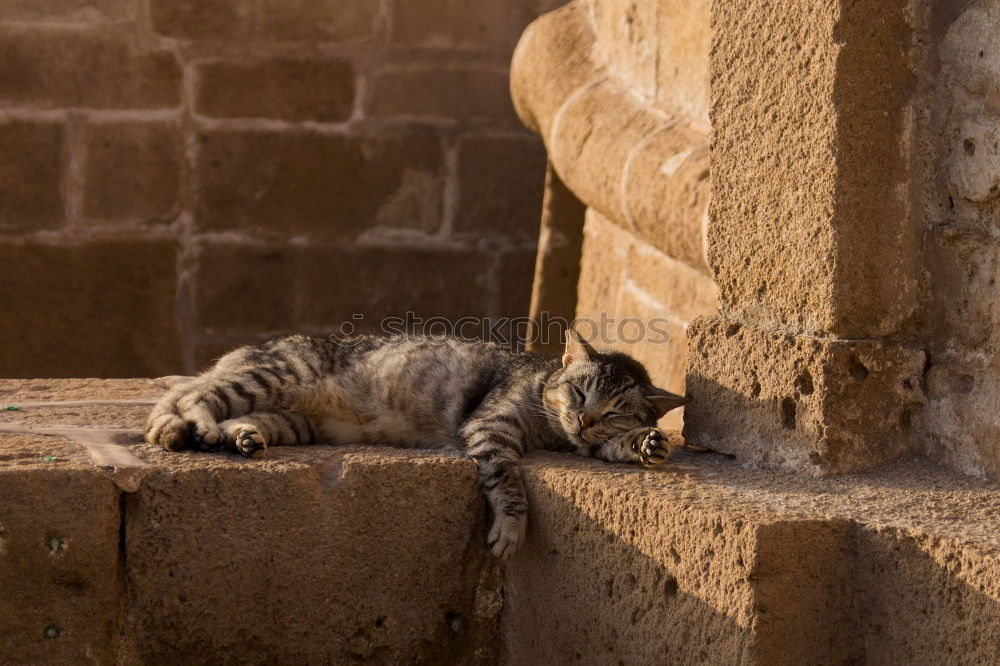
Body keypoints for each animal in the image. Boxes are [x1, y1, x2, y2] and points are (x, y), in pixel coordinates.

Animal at [146, 330, 688, 556]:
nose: (582, 416)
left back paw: (241, 437)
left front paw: (647, 444)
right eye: (577, 392)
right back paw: (198, 427)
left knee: (229, 412)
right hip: (273, 377)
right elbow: (510, 485)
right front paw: (511, 530)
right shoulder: (492, 427)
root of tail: (243, 350)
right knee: (190, 396)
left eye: (613, 411)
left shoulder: (579, 442)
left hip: (291, 419)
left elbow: (607, 447)